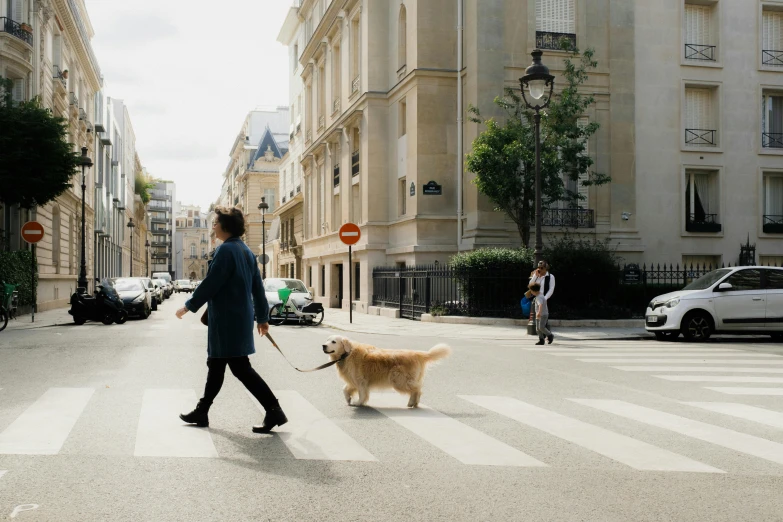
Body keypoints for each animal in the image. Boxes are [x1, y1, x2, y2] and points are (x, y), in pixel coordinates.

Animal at [322, 334, 450, 406]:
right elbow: (345, 389)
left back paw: (414, 402)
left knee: (418, 389)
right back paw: (412, 403)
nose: (323, 345)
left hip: (398, 380)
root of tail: (418, 354)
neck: (347, 354)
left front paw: (358, 403)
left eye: (333, 341)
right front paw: (348, 398)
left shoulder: (361, 381)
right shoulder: (353, 380)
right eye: (327, 339)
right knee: (416, 389)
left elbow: (362, 393)